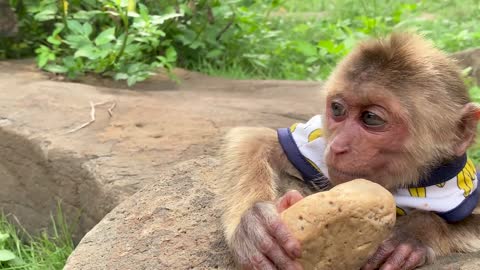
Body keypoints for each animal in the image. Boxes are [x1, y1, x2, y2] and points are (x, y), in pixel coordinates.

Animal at [219, 32, 480, 268]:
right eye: (337, 109)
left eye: (371, 118)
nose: (337, 147)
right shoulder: (317, 139)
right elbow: (254, 138)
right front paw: (256, 223)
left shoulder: (455, 181)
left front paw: (413, 233)